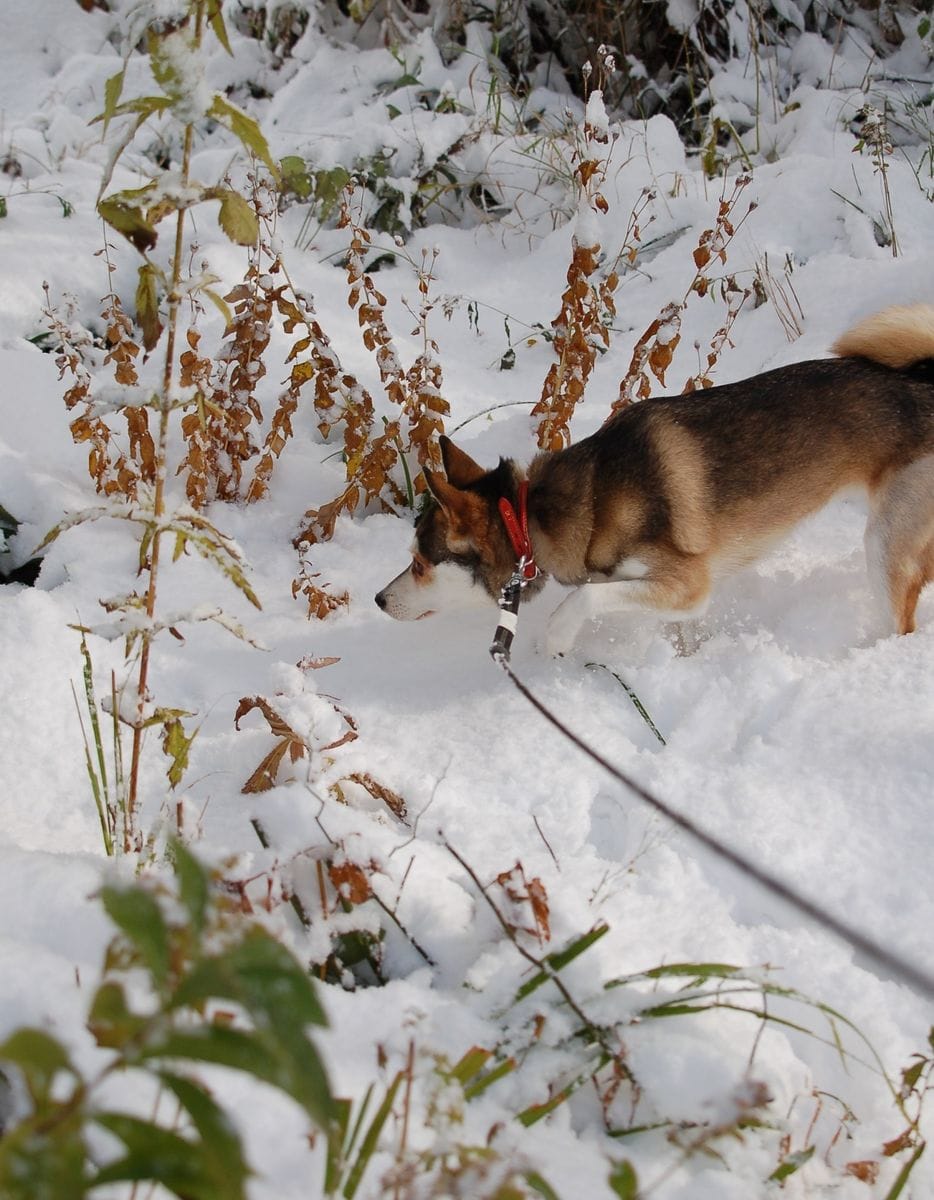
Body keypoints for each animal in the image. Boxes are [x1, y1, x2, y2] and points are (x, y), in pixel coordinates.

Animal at [374, 302, 931, 657]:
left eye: (420, 564)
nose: (378, 600)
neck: (543, 512)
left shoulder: (687, 583)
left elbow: (582, 600)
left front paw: (555, 640)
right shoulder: (676, 598)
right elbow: (682, 633)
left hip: (885, 545)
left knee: (902, 623)